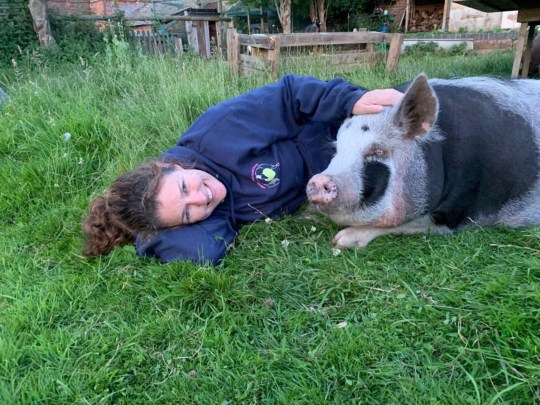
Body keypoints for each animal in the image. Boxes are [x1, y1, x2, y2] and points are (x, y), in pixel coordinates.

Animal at [306, 74, 540, 248]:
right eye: (337, 149)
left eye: (377, 151)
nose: (318, 180)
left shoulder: (459, 212)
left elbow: (410, 223)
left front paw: (341, 240)